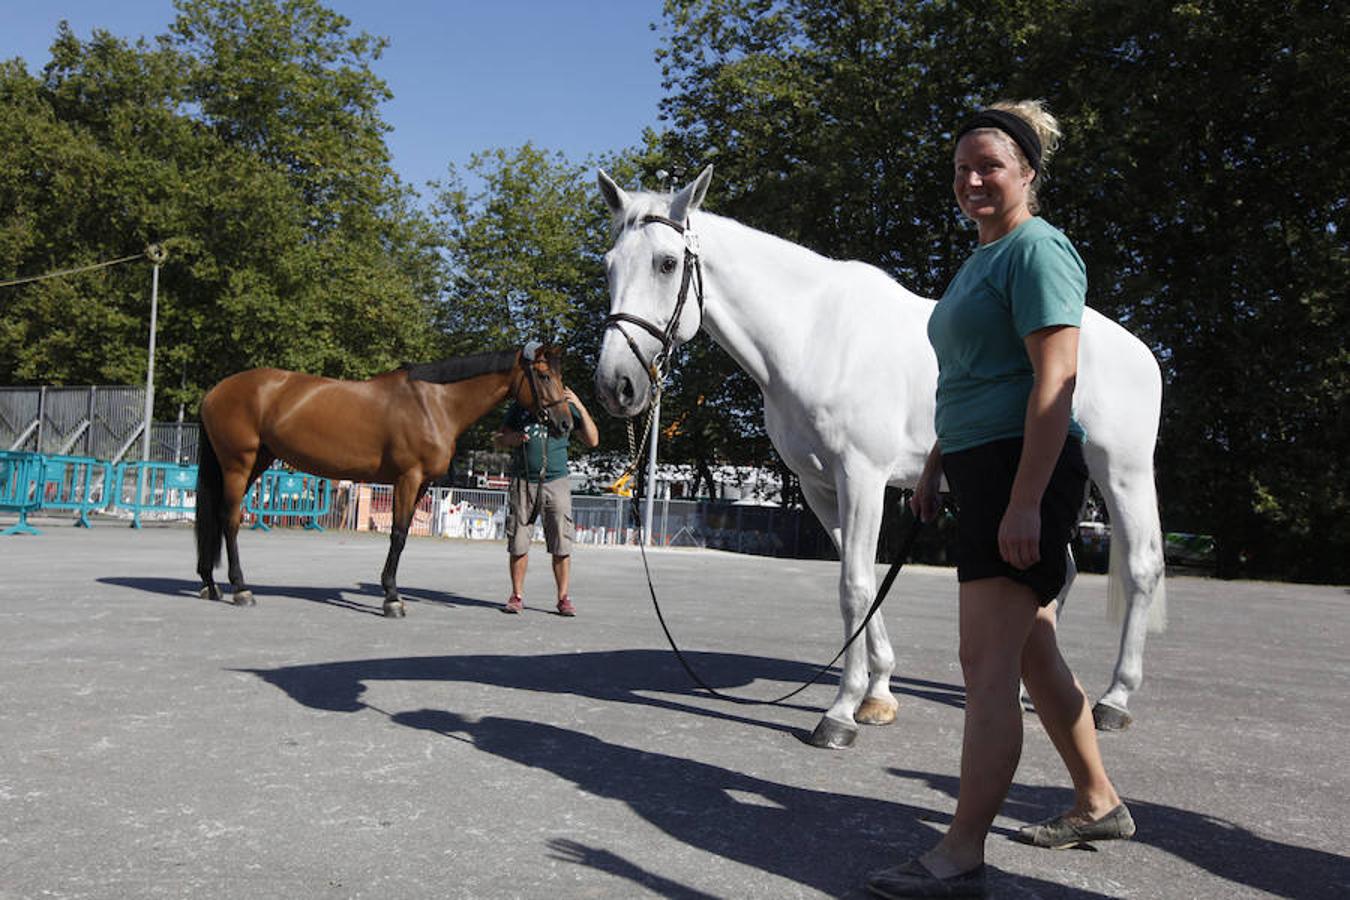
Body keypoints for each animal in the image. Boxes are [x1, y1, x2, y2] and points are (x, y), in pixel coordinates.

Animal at [194, 348, 569, 620]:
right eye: (544, 376)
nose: (565, 423)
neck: (434, 403)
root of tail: (215, 391)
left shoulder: (420, 485)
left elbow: (401, 535)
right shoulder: (408, 478)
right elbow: (398, 535)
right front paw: (392, 597)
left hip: (256, 461)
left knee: (217, 519)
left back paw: (211, 584)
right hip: (238, 464)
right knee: (229, 520)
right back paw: (241, 589)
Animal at [596, 167, 1166, 744]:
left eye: (667, 263)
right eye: (608, 264)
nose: (616, 385)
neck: (812, 334)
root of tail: (1141, 351)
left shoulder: (862, 476)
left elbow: (854, 586)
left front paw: (840, 712)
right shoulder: (820, 488)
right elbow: (865, 581)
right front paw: (877, 694)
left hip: (1121, 472)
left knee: (1141, 567)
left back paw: (1114, 699)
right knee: (1061, 573)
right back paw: (1030, 690)